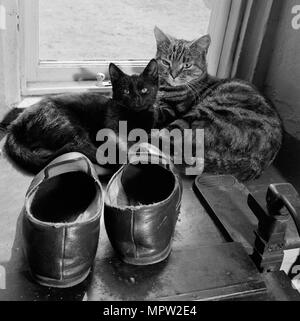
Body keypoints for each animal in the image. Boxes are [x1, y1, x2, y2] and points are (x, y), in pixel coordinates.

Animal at [1, 57, 158, 172]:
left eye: (144, 90)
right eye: (126, 91)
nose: (136, 99)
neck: (135, 116)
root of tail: (16, 123)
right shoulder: (112, 131)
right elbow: (121, 145)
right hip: (70, 126)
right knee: (86, 150)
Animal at [154, 27, 282, 180]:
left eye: (187, 65)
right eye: (166, 62)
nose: (173, 75)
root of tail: (257, 161)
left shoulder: (171, 110)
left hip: (205, 112)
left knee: (169, 140)